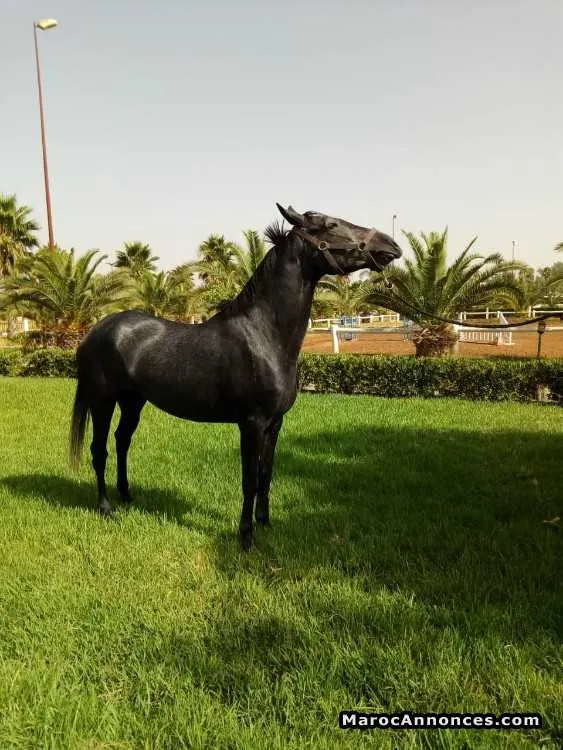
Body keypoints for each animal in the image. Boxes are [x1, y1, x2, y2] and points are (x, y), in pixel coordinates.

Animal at [69, 204, 402, 550]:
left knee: (122, 441)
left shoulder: (275, 423)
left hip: (133, 401)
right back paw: (106, 508)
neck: (264, 335)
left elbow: (266, 475)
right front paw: (246, 538)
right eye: (331, 225)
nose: (389, 245)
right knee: (99, 450)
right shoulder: (251, 423)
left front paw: (265, 524)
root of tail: (96, 331)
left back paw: (127, 495)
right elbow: (249, 479)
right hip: (103, 401)